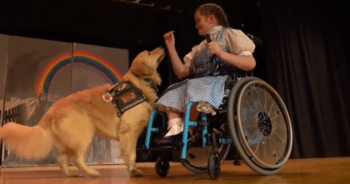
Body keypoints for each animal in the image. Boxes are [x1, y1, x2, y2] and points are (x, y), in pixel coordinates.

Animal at [0, 46, 165, 177]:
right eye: (149, 52)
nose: (162, 46)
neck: (138, 85)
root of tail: (52, 109)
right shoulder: (128, 132)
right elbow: (131, 155)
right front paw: (133, 171)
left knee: (61, 158)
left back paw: (69, 174)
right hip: (84, 135)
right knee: (76, 159)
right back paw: (92, 173)